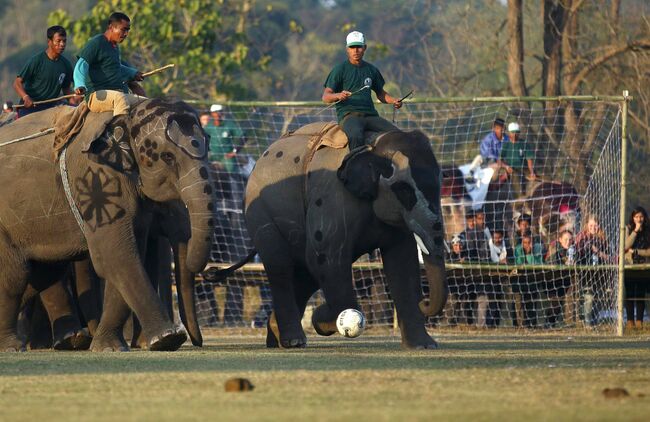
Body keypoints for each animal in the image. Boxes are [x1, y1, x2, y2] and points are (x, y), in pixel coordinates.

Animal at [0, 97, 215, 352]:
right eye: (168, 157)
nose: (196, 341)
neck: (127, 115)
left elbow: (125, 256)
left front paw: (110, 346)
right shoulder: (97, 183)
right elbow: (116, 255)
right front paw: (167, 338)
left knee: (45, 272)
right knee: (15, 275)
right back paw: (15, 346)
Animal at [242, 123, 446, 350]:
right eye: (404, 191)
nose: (424, 302)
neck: (374, 145)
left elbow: (403, 264)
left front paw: (424, 346)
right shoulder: (333, 199)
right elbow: (328, 258)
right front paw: (324, 319)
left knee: (306, 274)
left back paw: (277, 336)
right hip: (260, 211)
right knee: (281, 267)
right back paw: (293, 340)